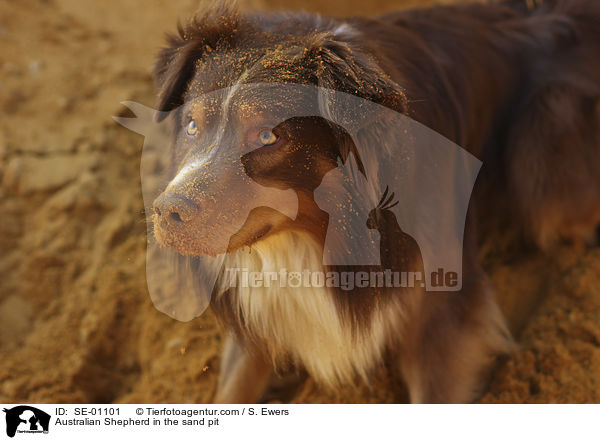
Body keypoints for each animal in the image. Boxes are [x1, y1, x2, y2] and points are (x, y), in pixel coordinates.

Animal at [151, 0, 600, 404]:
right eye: (192, 125)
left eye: (267, 136)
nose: (167, 212)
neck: (317, 235)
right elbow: (230, 389)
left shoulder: (439, 311)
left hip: (541, 139)